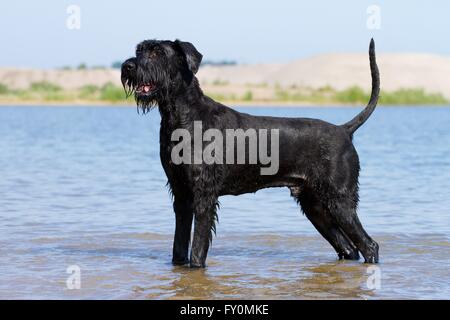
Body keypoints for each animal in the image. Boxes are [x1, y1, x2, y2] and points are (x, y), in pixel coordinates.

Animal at [120, 38, 380, 268]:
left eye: (157, 53)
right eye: (139, 49)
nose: (128, 66)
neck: (183, 117)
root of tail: (344, 130)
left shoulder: (204, 195)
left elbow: (197, 249)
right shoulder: (181, 194)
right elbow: (179, 246)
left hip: (339, 201)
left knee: (369, 246)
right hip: (314, 205)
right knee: (349, 248)